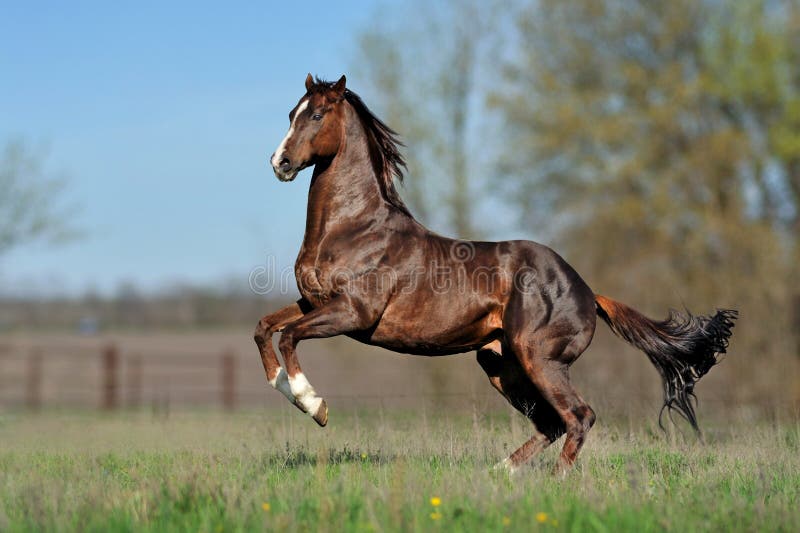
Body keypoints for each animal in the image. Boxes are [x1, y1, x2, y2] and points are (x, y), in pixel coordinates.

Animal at [256, 72, 736, 472]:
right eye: (291, 113)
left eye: (317, 114)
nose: (279, 163)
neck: (354, 228)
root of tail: (588, 291)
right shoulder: (313, 302)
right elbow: (265, 328)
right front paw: (286, 388)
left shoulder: (354, 313)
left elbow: (290, 335)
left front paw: (314, 405)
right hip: (500, 363)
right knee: (552, 424)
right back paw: (501, 472)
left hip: (539, 358)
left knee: (579, 417)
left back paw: (556, 482)